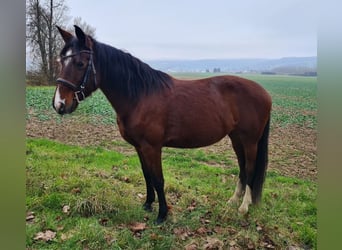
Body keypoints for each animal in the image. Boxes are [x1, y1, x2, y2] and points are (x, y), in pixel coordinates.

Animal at [52, 26, 272, 224]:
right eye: (61, 61)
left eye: (80, 63)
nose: (59, 104)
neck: (140, 96)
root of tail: (265, 93)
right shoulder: (139, 146)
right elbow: (147, 175)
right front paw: (148, 204)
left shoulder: (152, 147)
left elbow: (158, 179)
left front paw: (162, 215)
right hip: (236, 138)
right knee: (242, 168)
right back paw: (233, 200)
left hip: (250, 141)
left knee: (250, 169)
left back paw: (243, 206)